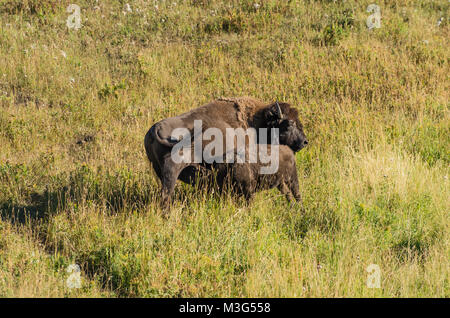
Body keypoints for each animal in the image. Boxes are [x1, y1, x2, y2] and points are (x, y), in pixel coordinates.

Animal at [146, 96, 308, 209]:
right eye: (289, 124)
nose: (305, 142)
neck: (255, 122)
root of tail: (155, 129)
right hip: (172, 170)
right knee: (167, 193)